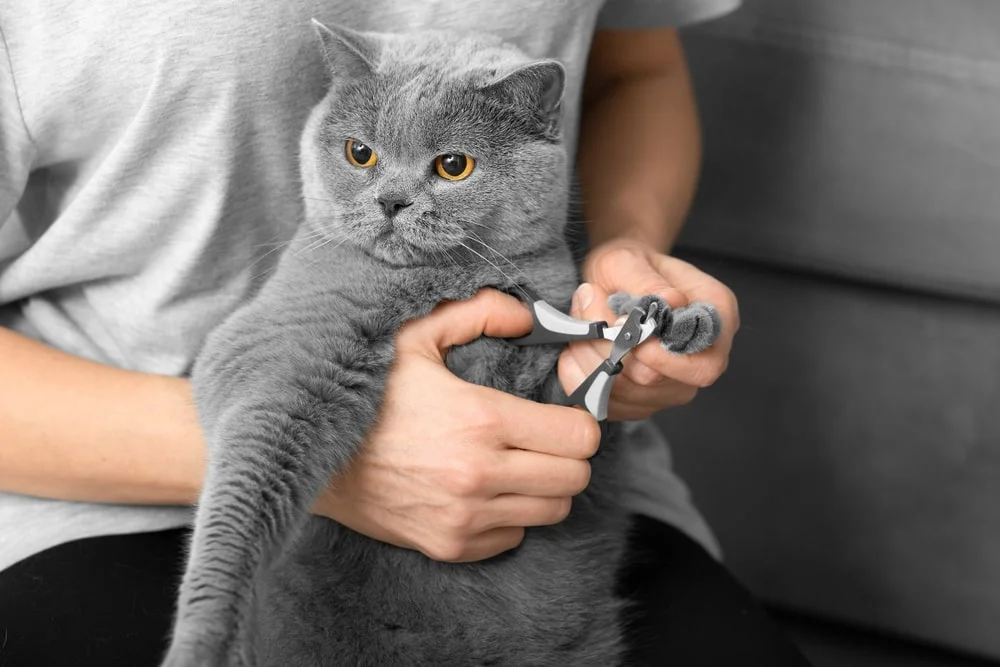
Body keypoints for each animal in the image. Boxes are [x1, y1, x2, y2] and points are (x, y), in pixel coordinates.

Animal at [162, 20, 720, 667]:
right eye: (359, 153)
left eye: (453, 165)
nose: (391, 201)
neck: (444, 280)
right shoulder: (279, 343)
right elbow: (244, 489)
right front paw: (200, 641)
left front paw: (670, 316)